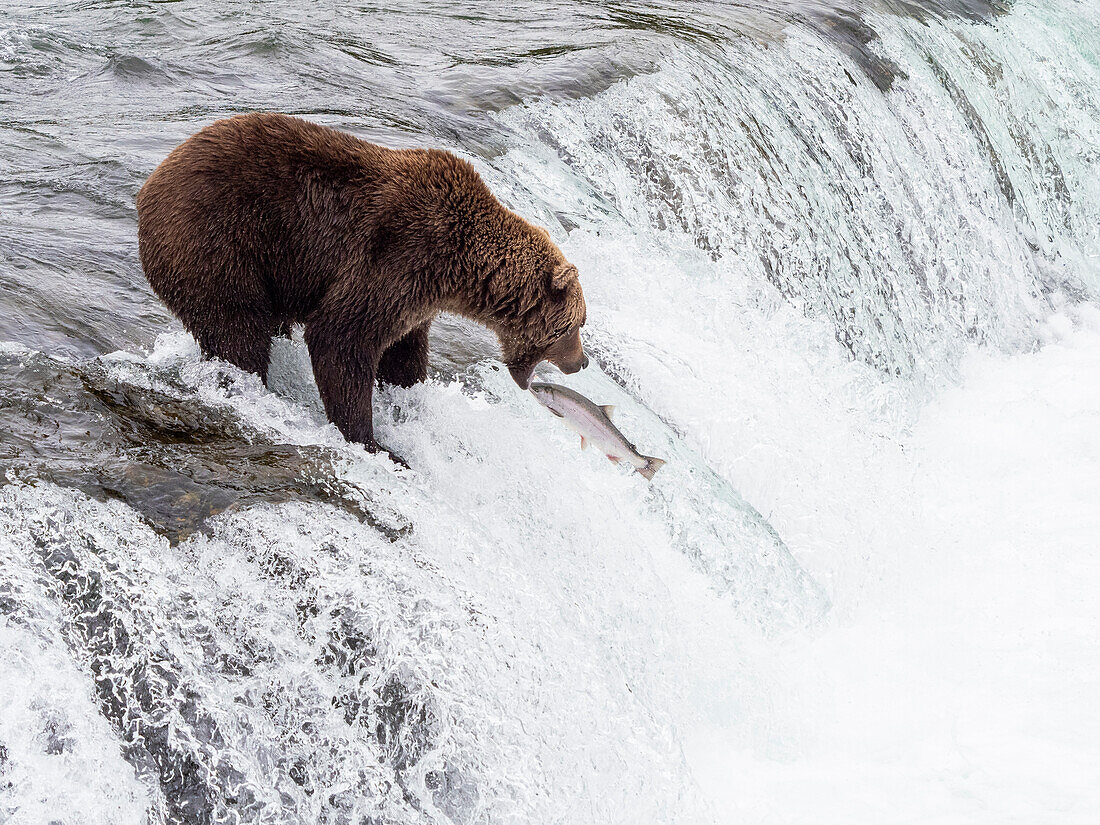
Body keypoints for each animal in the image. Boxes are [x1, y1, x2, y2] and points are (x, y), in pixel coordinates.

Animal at [136, 112, 589, 453]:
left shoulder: (416, 298)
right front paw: (370, 439)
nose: (582, 362)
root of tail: (149, 185)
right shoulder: (398, 257)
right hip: (220, 242)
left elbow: (402, 352)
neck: (461, 270)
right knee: (237, 330)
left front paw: (409, 402)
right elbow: (340, 338)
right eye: (573, 326)